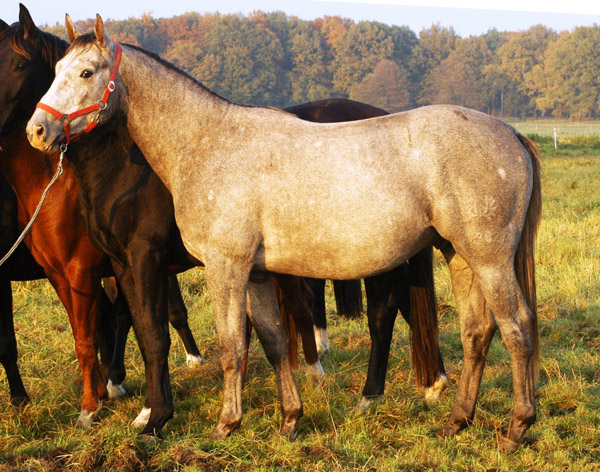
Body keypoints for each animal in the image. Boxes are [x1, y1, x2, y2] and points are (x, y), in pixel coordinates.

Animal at [29, 15, 544, 450]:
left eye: (87, 72)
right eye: (54, 69)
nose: (38, 130)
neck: (207, 144)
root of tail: (511, 133)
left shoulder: (223, 267)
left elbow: (231, 346)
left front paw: (225, 424)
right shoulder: (256, 272)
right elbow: (275, 341)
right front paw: (290, 419)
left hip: (491, 260)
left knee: (516, 329)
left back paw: (516, 428)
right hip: (459, 256)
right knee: (477, 332)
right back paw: (457, 421)